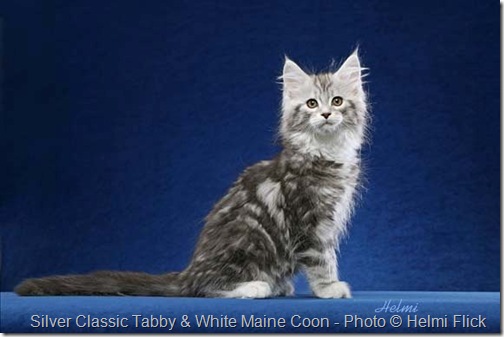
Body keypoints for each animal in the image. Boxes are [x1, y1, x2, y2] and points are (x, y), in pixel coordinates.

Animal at [15, 50, 368, 296]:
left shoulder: (328, 223)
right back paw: (256, 287)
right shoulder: (309, 223)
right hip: (248, 242)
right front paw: (330, 289)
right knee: (205, 289)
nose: (326, 114)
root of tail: (189, 271)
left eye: (337, 101)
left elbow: (329, 256)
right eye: (311, 104)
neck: (324, 152)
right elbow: (321, 261)